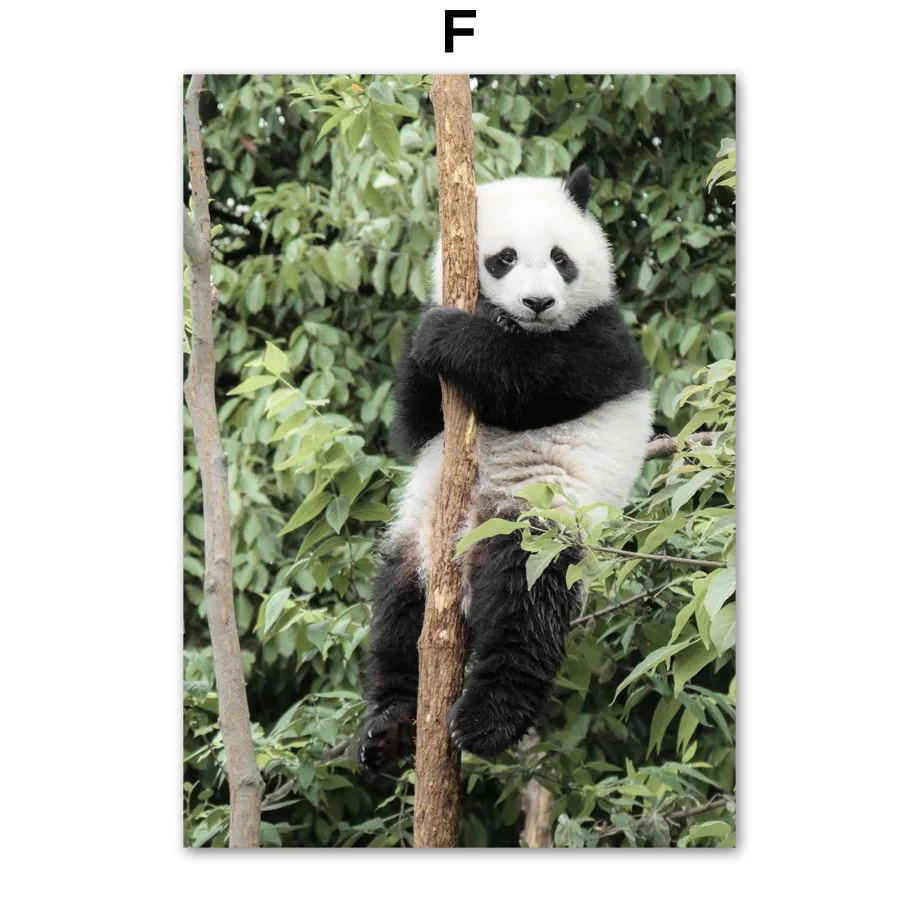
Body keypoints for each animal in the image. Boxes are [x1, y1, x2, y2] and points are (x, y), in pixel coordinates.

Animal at [357, 166, 652, 774]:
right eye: (504, 258)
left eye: (561, 257)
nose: (537, 302)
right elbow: (413, 425)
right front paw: (430, 334)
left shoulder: (602, 340)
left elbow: (534, 382)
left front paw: (449, 336)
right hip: (417, 539)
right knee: (396, 612)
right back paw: (390, 725)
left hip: (537, 522)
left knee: (526, 608)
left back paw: (487, 722)